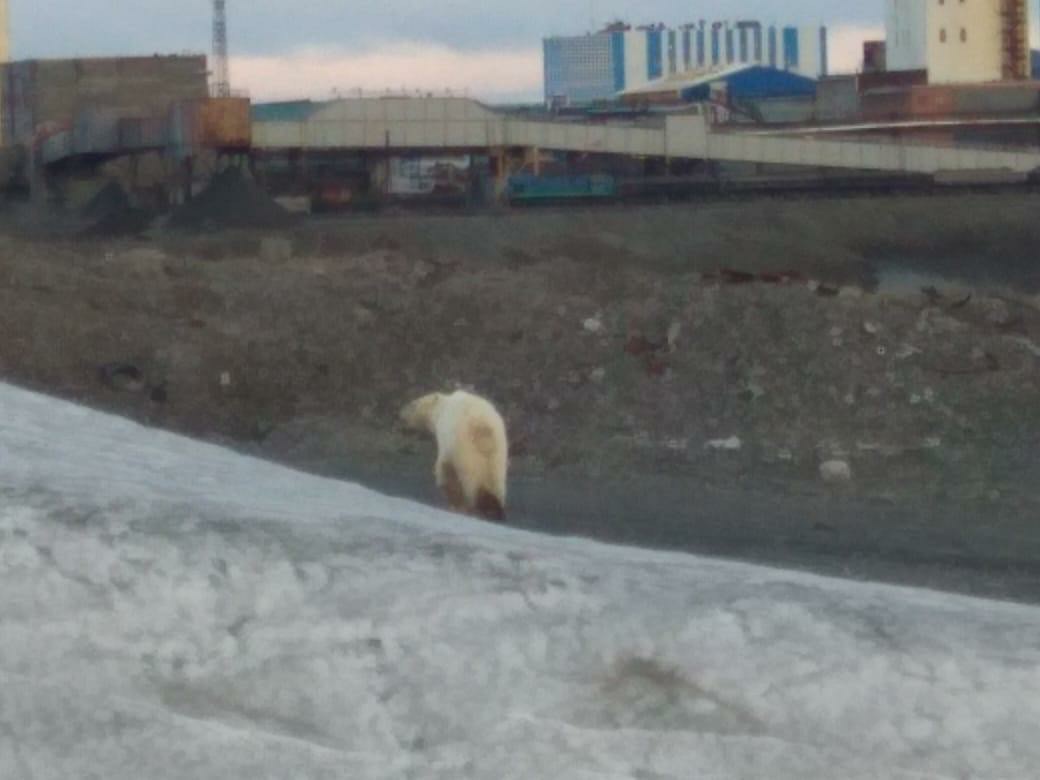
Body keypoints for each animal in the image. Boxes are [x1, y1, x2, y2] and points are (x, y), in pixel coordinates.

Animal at [399, 391, 509, 526]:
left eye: (413, 404)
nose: (400, 413)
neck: (442, 406)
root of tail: (484, 431)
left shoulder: (448, 440)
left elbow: (445, 469)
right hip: (498, 456)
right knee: (495, 483)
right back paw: (494, 509)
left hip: (466, 451)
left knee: (470, 482)